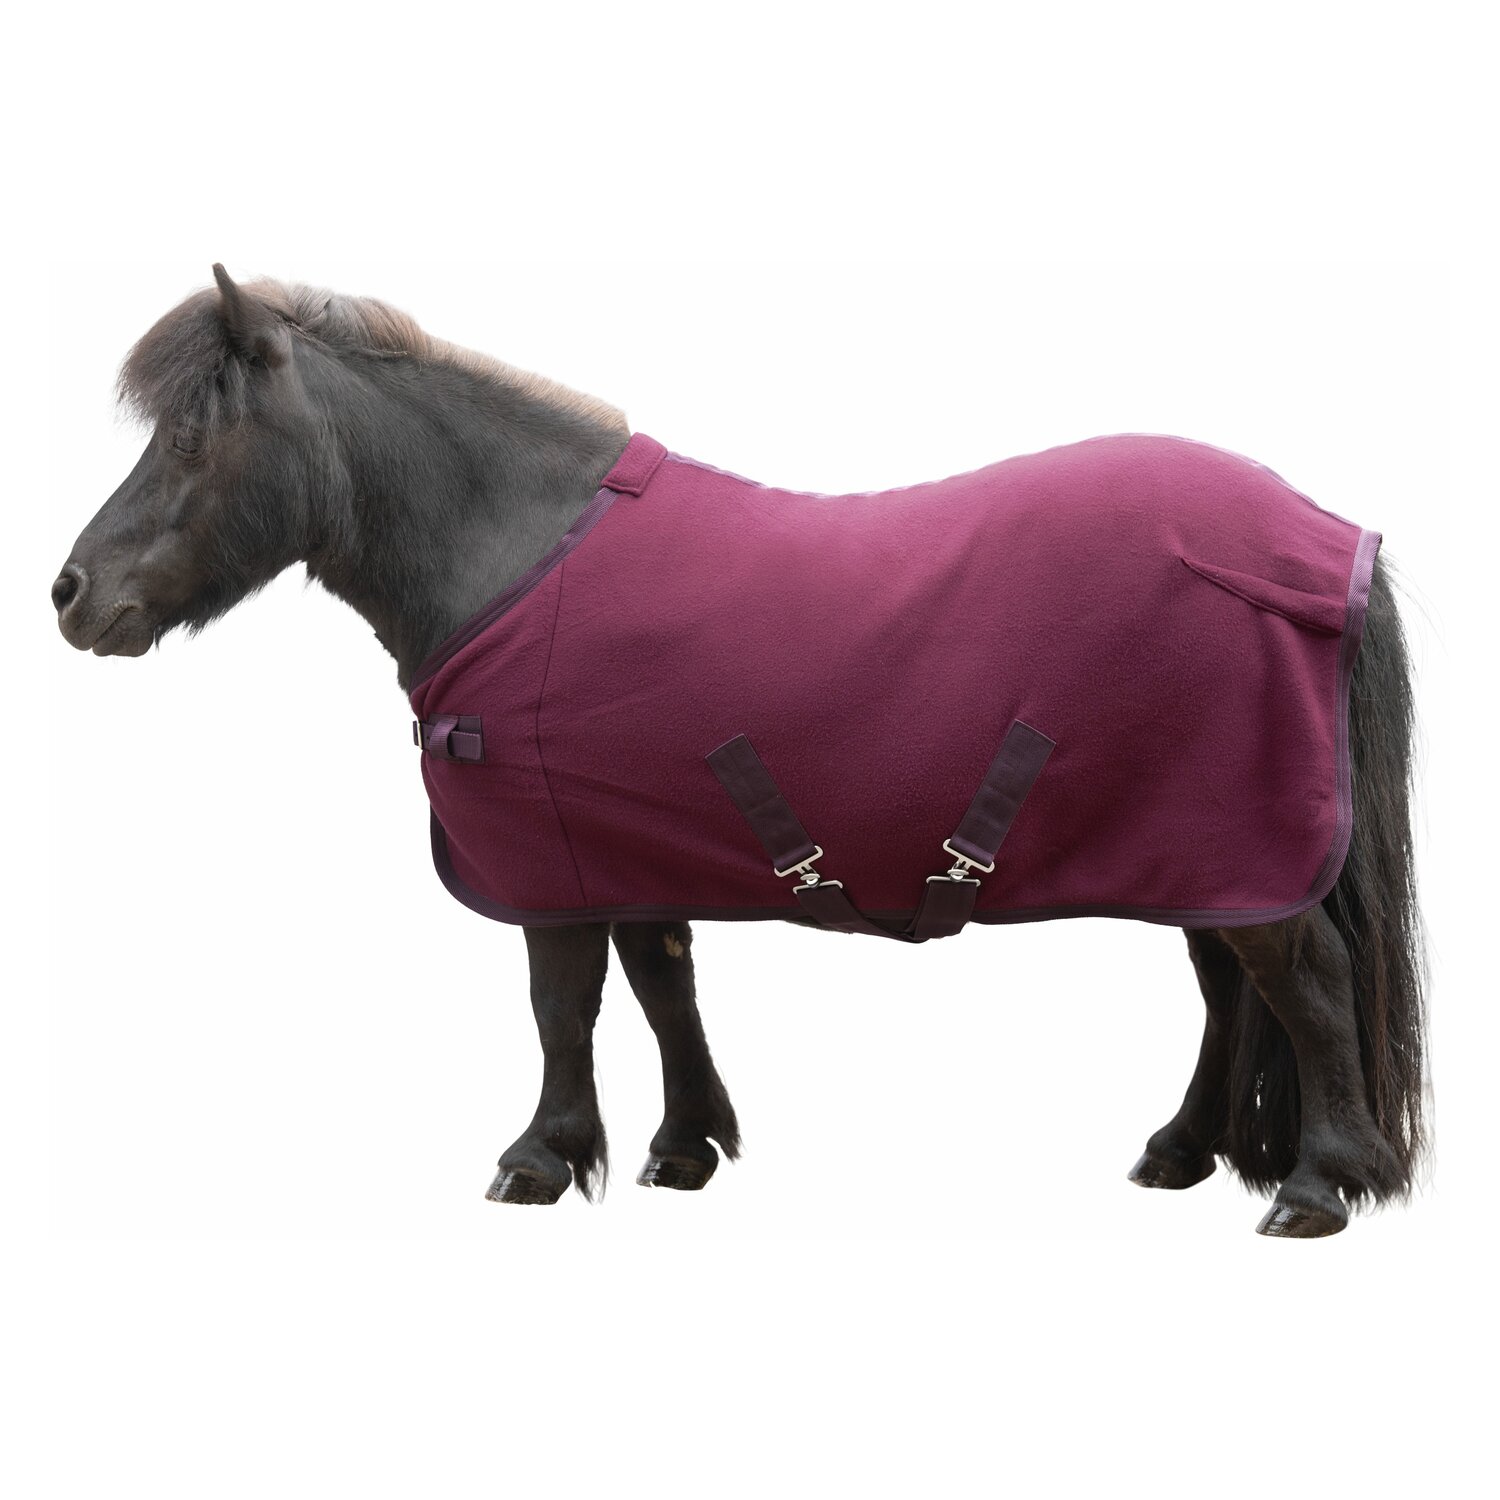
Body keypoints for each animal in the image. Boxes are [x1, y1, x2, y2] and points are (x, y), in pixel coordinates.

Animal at [52, 266, 1427, 1236]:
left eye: (194, 435)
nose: (69, 593)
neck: (516, 558)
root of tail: (1315, 544)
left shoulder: (548, 864)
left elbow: (563, 1004)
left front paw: (543, 1156)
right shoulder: (628, 843)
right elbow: (663, 985)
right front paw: (684, 1145)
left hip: (1233, 848)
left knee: (1301, 980)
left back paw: (1319, 1184)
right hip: (1204, 855)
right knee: (1231, 993)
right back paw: (1184, 1151)